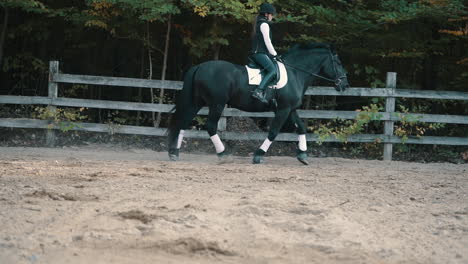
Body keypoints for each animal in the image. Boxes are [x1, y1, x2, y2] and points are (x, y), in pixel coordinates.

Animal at [167, 43, 348, 164]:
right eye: (338, 63)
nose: (345, 85)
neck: (295, 73)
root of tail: (199, 67)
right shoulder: (283, 110)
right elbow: (274, 132)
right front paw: (258, 155)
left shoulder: (290, 109)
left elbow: (301, 128)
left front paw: (303, 155)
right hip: (217, 104)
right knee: (210, 126)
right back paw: (223, 154)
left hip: (196, 102)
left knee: (183, 123)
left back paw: (174, 153)